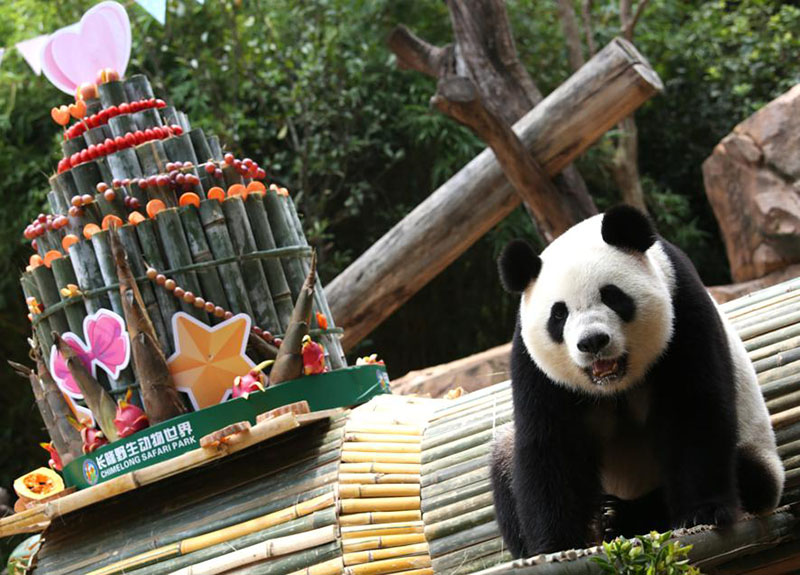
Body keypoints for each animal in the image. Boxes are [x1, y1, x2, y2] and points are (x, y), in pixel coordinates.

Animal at [490, 206, 784, 560]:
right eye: (558, 314)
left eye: (612, 296)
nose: (592, 342)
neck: (615, 384)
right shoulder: (533, 365)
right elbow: (551, 445)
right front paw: (556, 545)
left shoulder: (682, 309)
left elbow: (693, 410)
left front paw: (702, 512)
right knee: (505, 459)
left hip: (757, 451)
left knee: (749, 472)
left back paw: (622, 515)